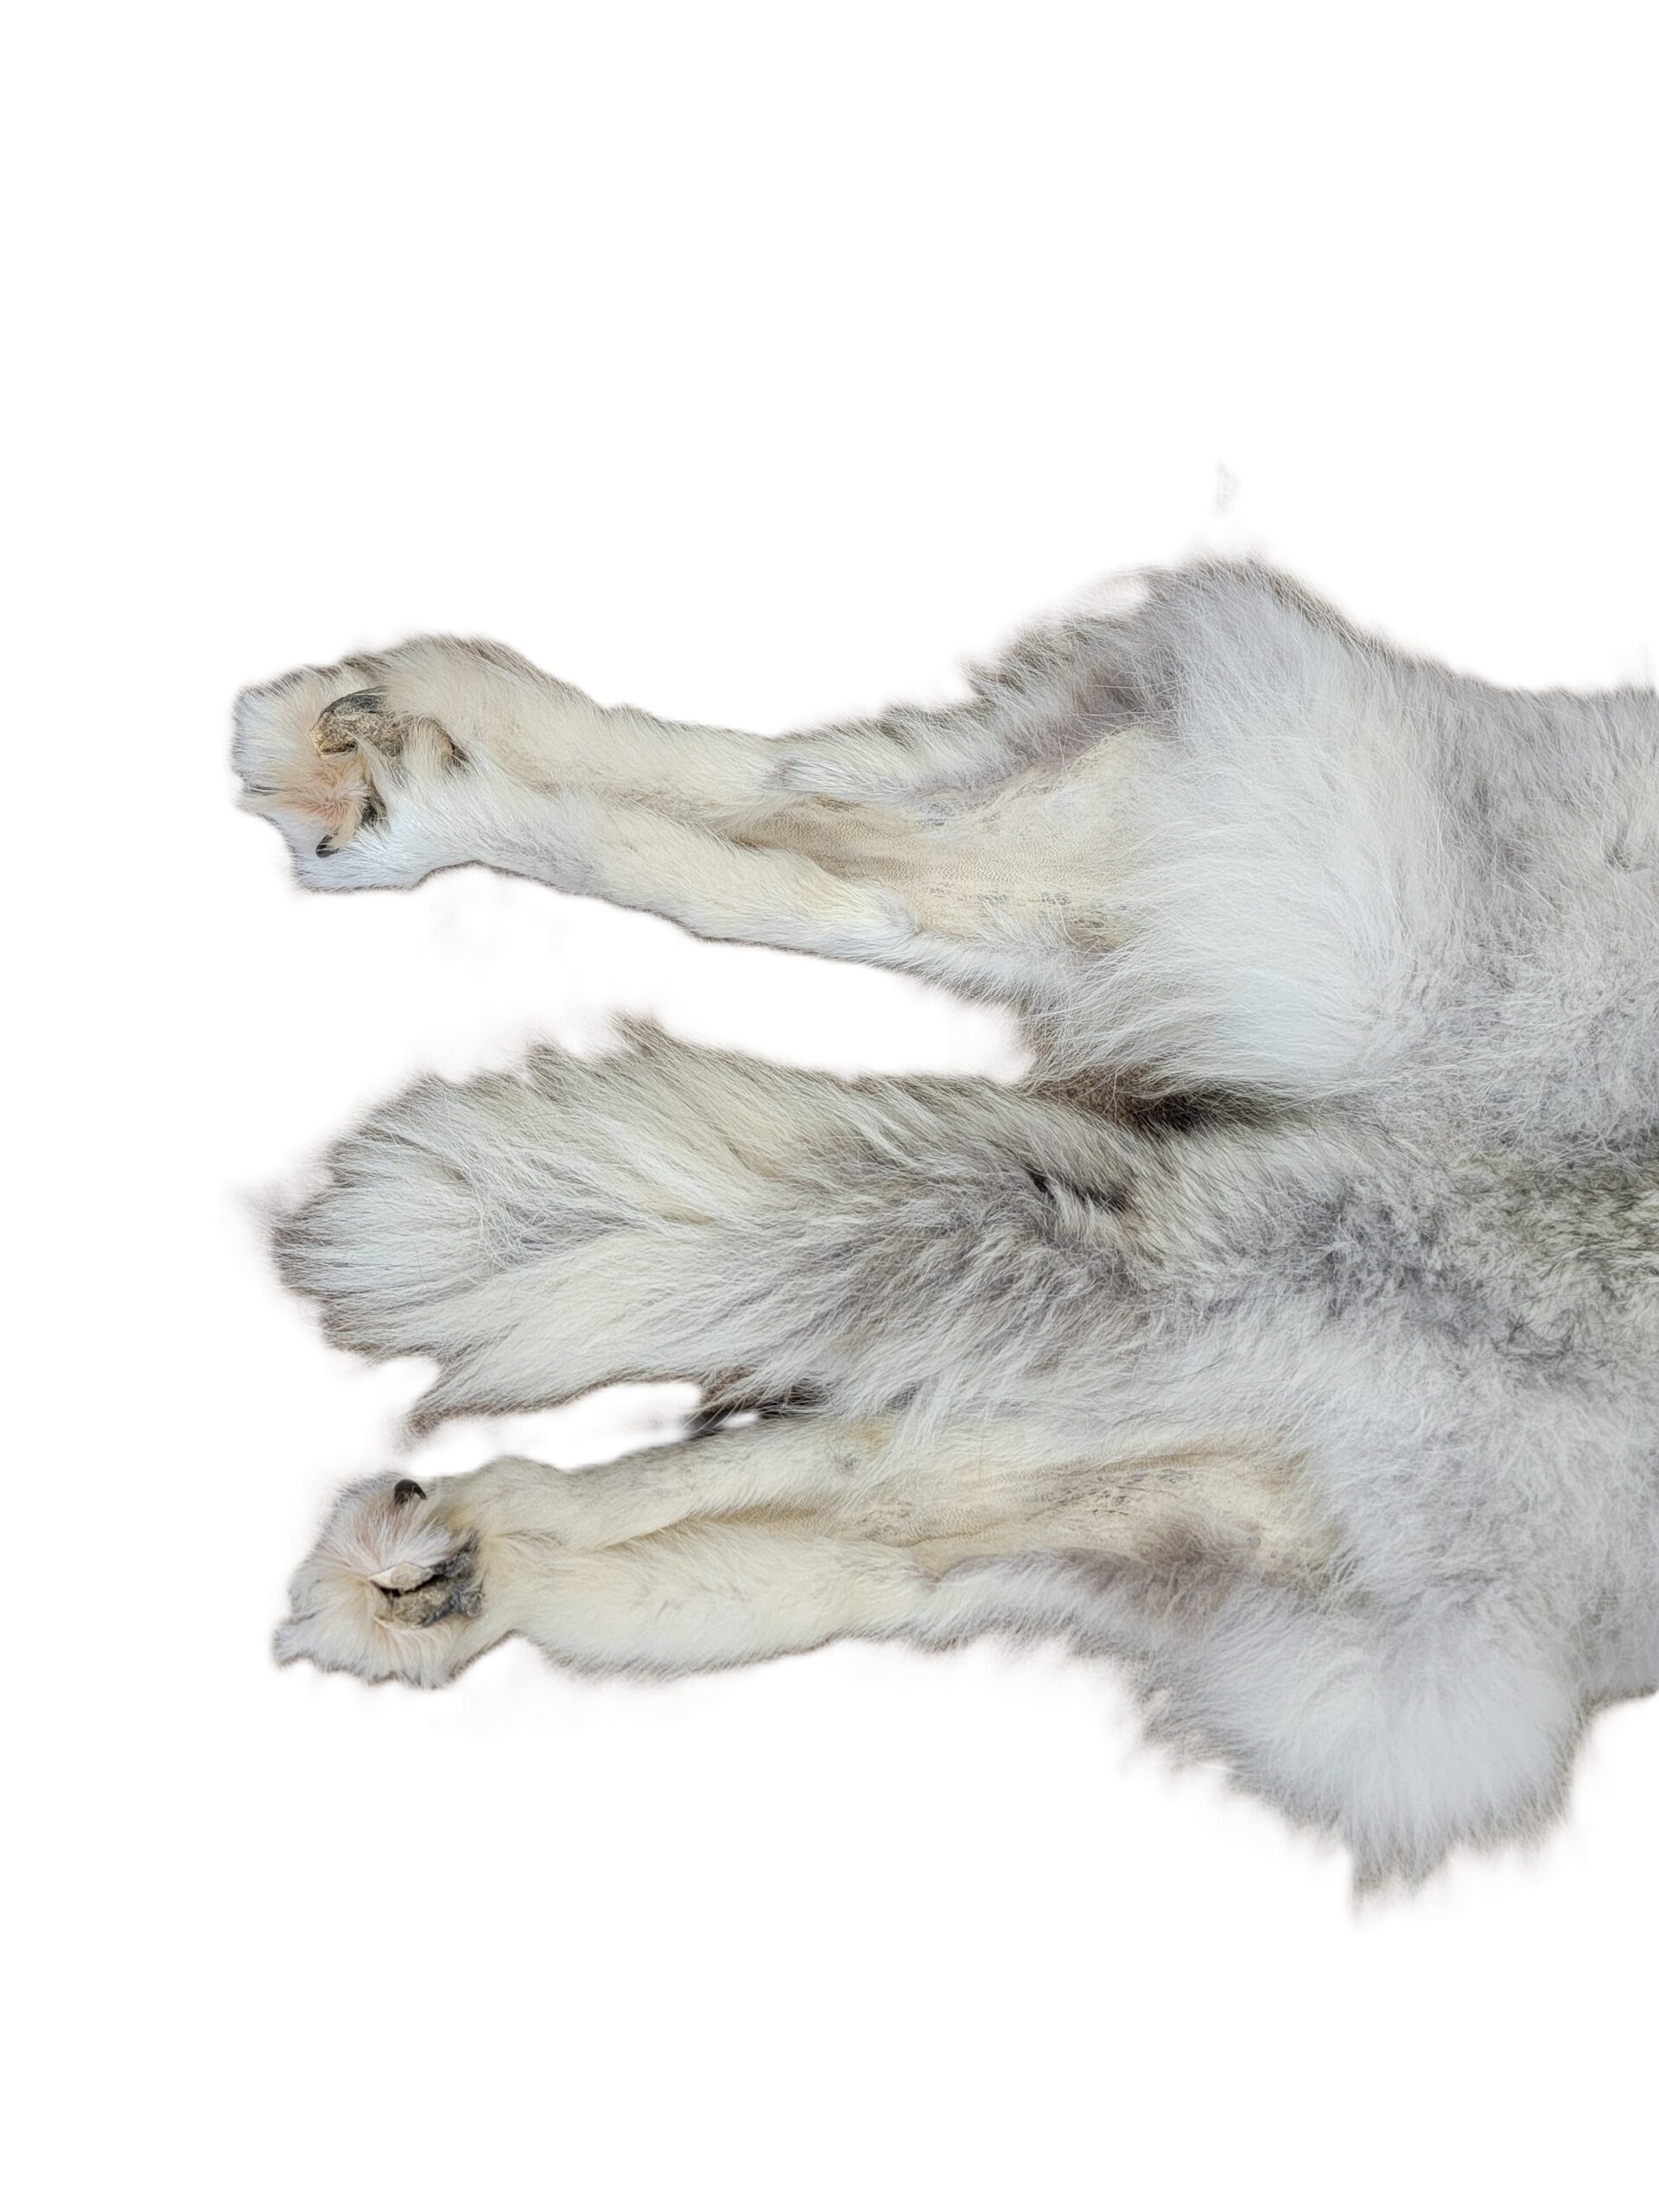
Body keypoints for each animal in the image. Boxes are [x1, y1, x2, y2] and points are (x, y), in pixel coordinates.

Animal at [234, 558, 1658, 1885]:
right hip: (1276, 935)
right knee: (824, 833)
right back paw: (395, 766)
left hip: (1236, 1451)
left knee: (850, 1498)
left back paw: (444, 1572)